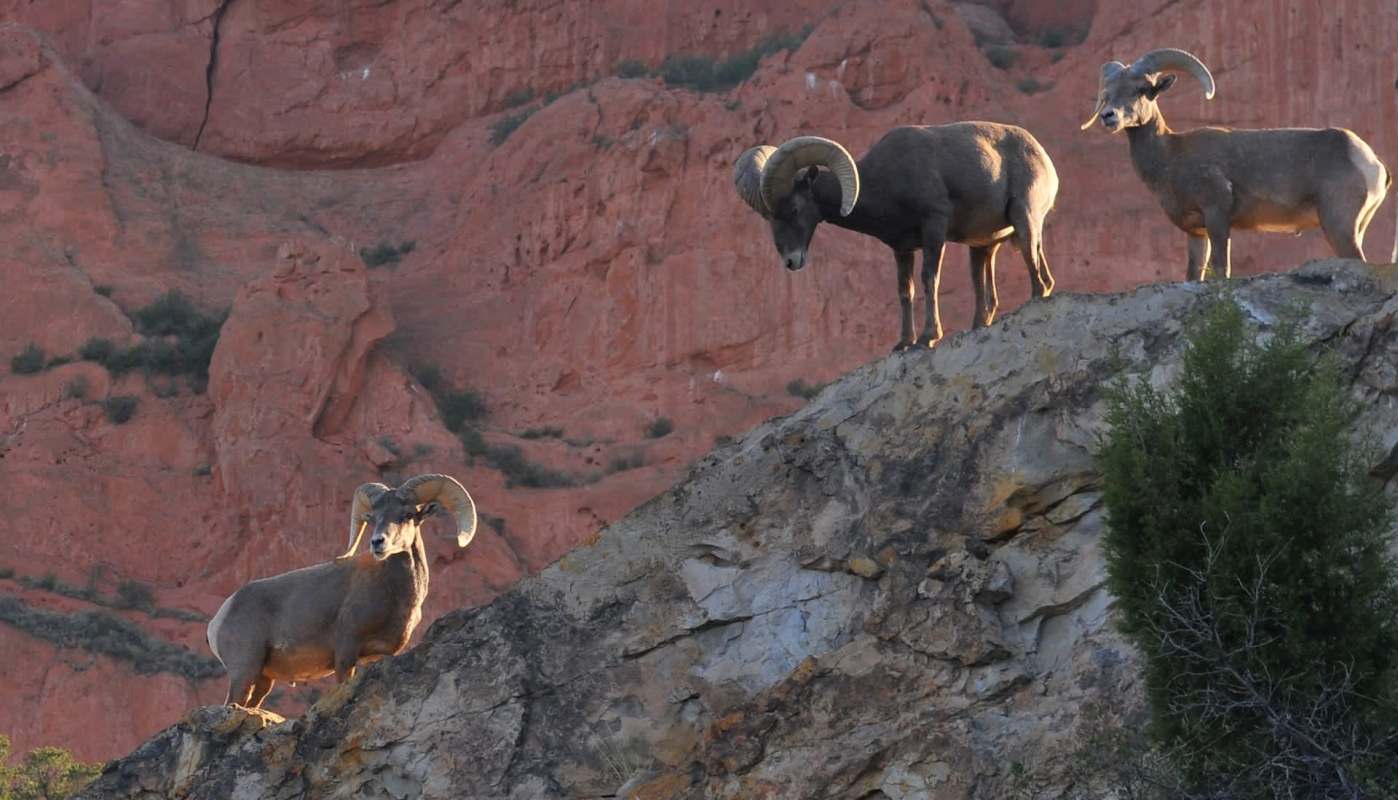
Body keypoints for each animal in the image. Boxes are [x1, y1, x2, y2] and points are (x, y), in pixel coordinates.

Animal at [205, 474, 476, 708]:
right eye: (373, 517)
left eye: (408, 515)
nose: (378, 542)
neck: (395, 595)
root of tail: (219, 618)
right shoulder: (346, 652)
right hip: (245, 670)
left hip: (263, 680)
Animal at [732, 124, 1058, 350]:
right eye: (768, 218)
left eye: (795, 209)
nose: (791, 261)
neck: (884, 183)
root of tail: (1042, 155)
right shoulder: (902, 249)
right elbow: (905, 292)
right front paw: (904, 343)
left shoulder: (934, 228)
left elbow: (930, 280)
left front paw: (928, 338)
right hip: (982, 247)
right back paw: (978, 324)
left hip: (1024, 217)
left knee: (1034, 264)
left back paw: (1035, 298)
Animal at [1082, 47, 1392, 280]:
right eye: (1107, 92)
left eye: (1141, 89)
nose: (1108, 116)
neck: (1171, 158)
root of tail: (1371, 162)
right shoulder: (1196, 233)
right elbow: (1194, 274)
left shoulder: (1218, 216)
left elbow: (1222, 269)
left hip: (1339, 224)